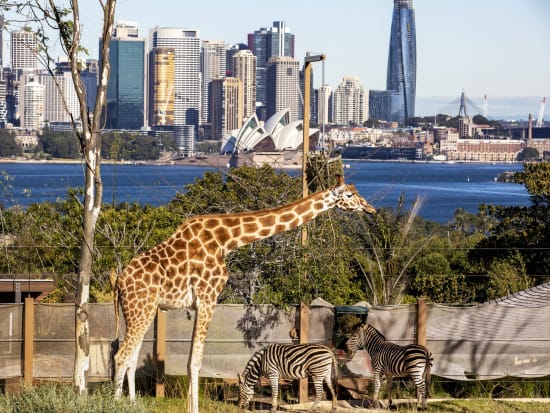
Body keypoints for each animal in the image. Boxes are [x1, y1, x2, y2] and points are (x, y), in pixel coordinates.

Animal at [113, 172, 378, 410]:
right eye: (350, 194)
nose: (370, 209)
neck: (226, 241)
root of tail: (118, 283)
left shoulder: (201, 302)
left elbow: (190, 361)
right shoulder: (208, 297)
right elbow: (194, 362)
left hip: (144, 310)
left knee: (131, 357)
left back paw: (132, 403)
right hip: (141, 309)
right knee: (121, 355)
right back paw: (115, 403)